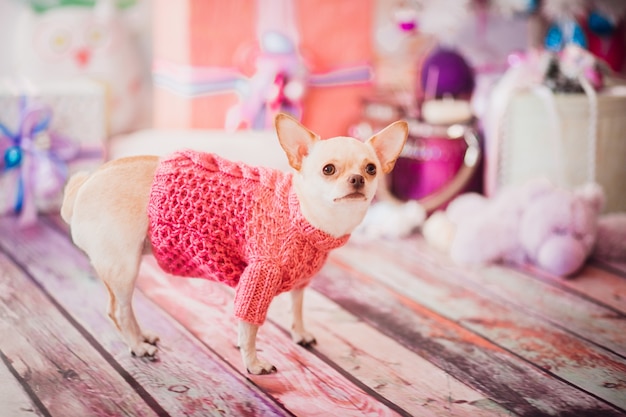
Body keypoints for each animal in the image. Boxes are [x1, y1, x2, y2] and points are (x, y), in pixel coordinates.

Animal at [61, 114, 408, 374]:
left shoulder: (300, 281)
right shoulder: (257, 281)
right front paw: (253, 363)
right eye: (328, 170)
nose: (357, 180)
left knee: (123, 309)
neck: (302, 211)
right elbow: (249, 327)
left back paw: (140, 336)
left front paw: (299, 333)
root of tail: (85, 184)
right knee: (118, 310)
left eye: (371, 169)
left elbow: (296, 308)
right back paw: (136, 346)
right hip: (124, 268)